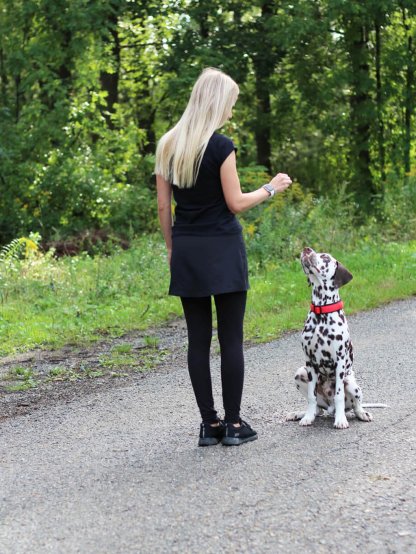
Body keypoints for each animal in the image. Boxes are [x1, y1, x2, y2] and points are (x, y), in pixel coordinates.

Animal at [286, 245, 374, 426]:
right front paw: (307, 417)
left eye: (325, 257)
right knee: (318, 409)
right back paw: (300, 414)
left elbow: (339, 395)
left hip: (351, 382)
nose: (306, 249)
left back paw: (361, 413)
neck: (322, 313)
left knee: (355, 405)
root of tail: (330, 408)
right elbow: (311, 397)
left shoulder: (339, 362)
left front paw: (340, 420)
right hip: (300, 372)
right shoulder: (309, 362)